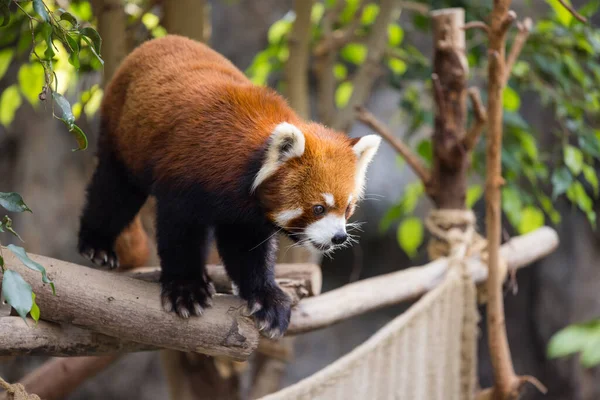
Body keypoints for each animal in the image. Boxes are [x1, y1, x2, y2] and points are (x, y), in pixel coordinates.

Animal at [77, 36, 382, 338]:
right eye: (319, 208)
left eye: (347, 209)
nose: (339, 237)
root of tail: (156, 42)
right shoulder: (185, 177)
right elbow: (180, 232)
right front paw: (186, 289)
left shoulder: (246, 215)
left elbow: (246, 251)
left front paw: (266, 298)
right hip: (122, 131)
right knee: (115, 191)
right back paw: (97, 244)